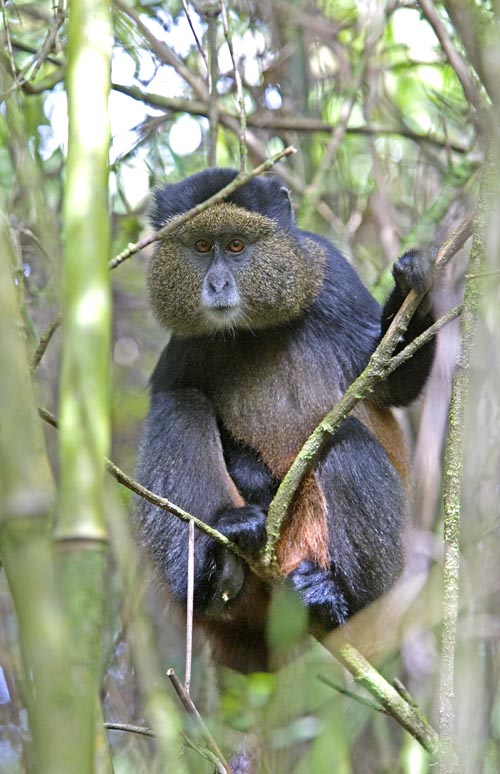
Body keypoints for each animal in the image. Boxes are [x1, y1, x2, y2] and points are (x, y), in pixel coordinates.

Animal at [134, 167, 436, 674]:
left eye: (237, 245)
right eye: (202, 247)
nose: (217, 284)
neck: (252, 330)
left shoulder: (331, 276)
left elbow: (391, 382)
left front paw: (419, 278)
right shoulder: (186, 341)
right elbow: (172, 394)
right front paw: (253, 476)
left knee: (347, 441)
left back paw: (335, 600)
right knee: (178, 408)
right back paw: (214, 575)